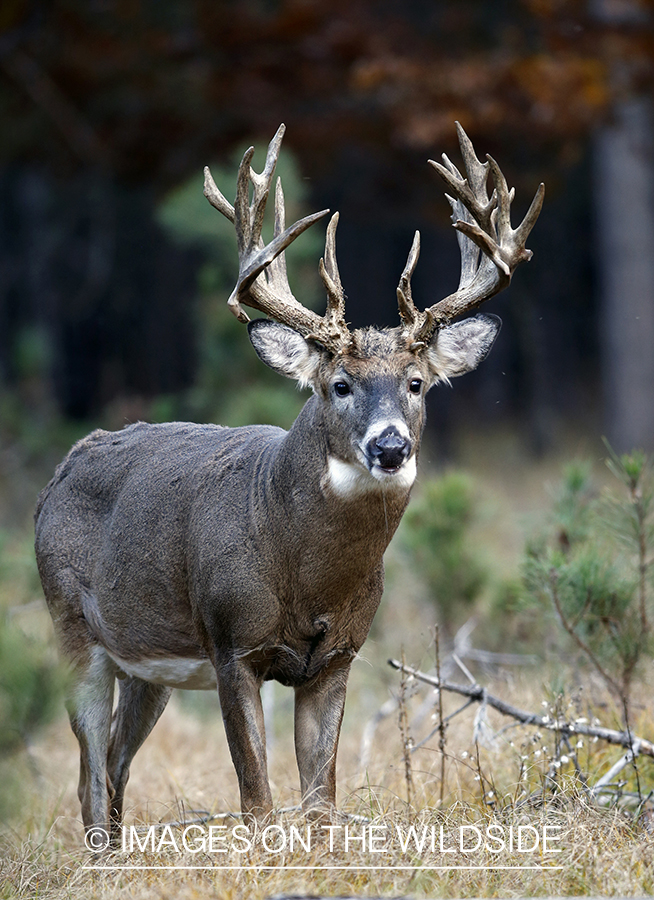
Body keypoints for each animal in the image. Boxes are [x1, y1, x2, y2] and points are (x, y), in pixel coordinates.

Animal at [36, 121, 544, 844]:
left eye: (418, 384)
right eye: (340, 384)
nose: (390, 446)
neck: (306, 577)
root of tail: (63, 469)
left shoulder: (337, 658)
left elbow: (320, 803)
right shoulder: (232, 643)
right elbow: (257, 799)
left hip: (148, 665)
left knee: (114, 764)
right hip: (72, 626)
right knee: (87, 773)